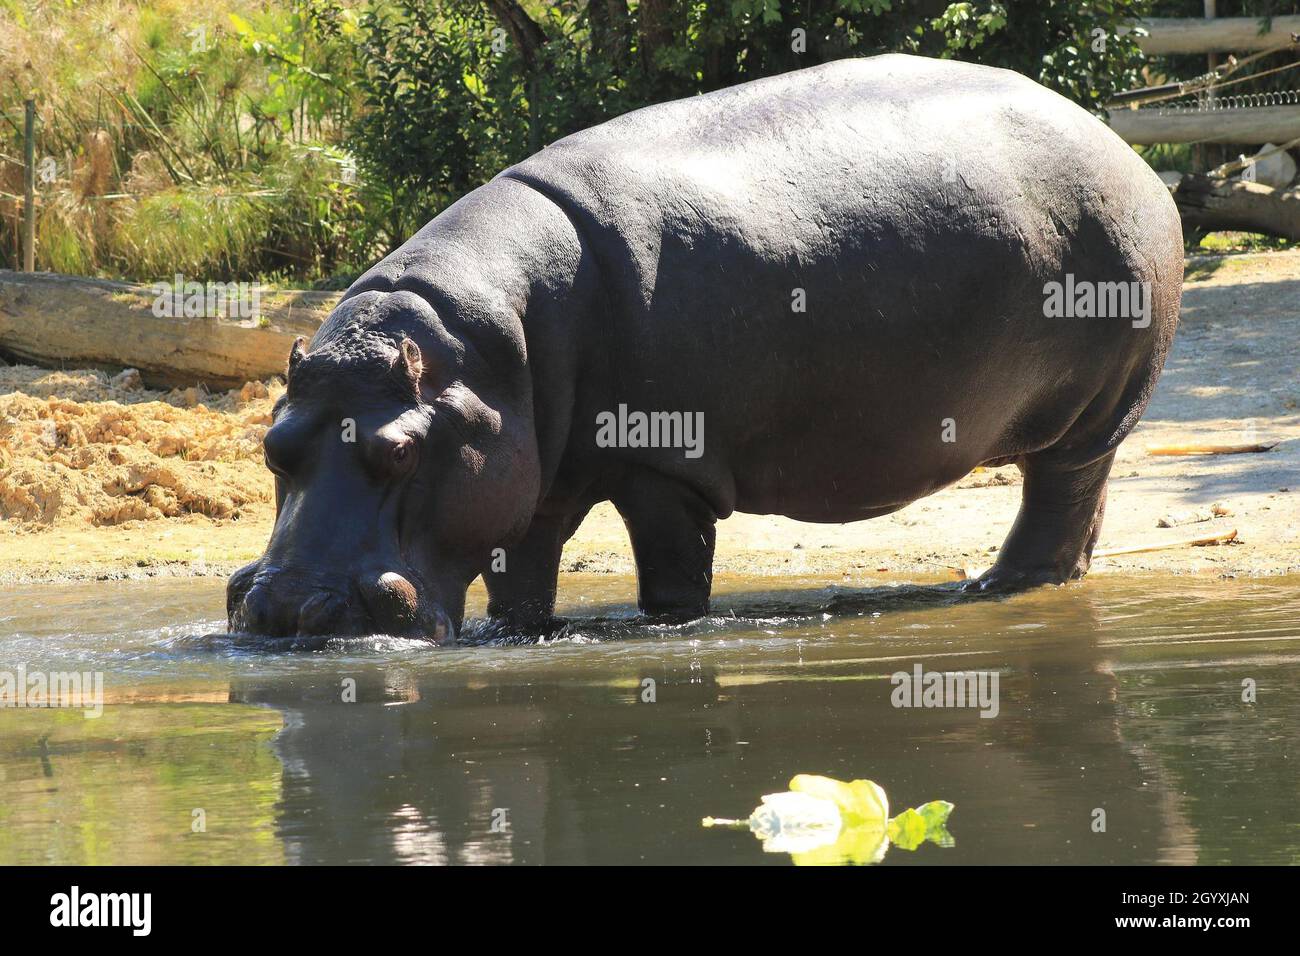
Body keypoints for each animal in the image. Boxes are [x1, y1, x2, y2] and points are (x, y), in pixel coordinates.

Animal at [227, 54, 1182, 643]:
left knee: (1060, 490)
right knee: (1081, 505)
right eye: (271, 447)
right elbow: (519, 574)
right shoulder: (527, 470)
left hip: (1095, 409)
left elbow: (672, 574)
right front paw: (525, 631)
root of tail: (1121, 144)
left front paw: (666, 628)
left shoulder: (665, 469)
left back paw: (999, 586)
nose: (284, 611)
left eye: (400, 451)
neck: (484, 350)